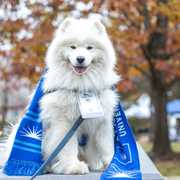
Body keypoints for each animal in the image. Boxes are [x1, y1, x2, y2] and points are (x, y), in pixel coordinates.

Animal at [3, 17, 119, 174]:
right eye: (73, 47)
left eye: (89, 48)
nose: (80, 58)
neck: (82, 85)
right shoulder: (65, 123)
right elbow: (69, 147)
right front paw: (74, 167)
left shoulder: (102, 120)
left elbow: (106, 145)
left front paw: (112, 164)